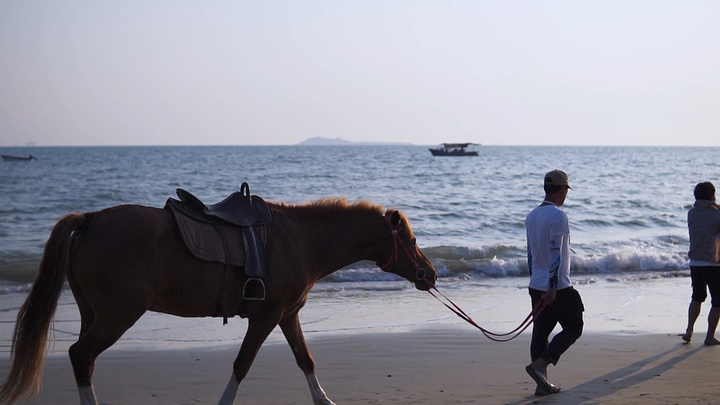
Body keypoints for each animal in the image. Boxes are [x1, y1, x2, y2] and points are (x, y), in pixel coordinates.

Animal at [0, 197, 436, 402]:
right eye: (412, 240)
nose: (429, 274)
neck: (300, 240)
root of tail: (89, 220)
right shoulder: (266, 318)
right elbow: (242, 365)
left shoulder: (287, 316)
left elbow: (305, 360)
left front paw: (324, 400)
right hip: (118, 315)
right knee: (81, 356)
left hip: (93, 313)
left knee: (83, 359)